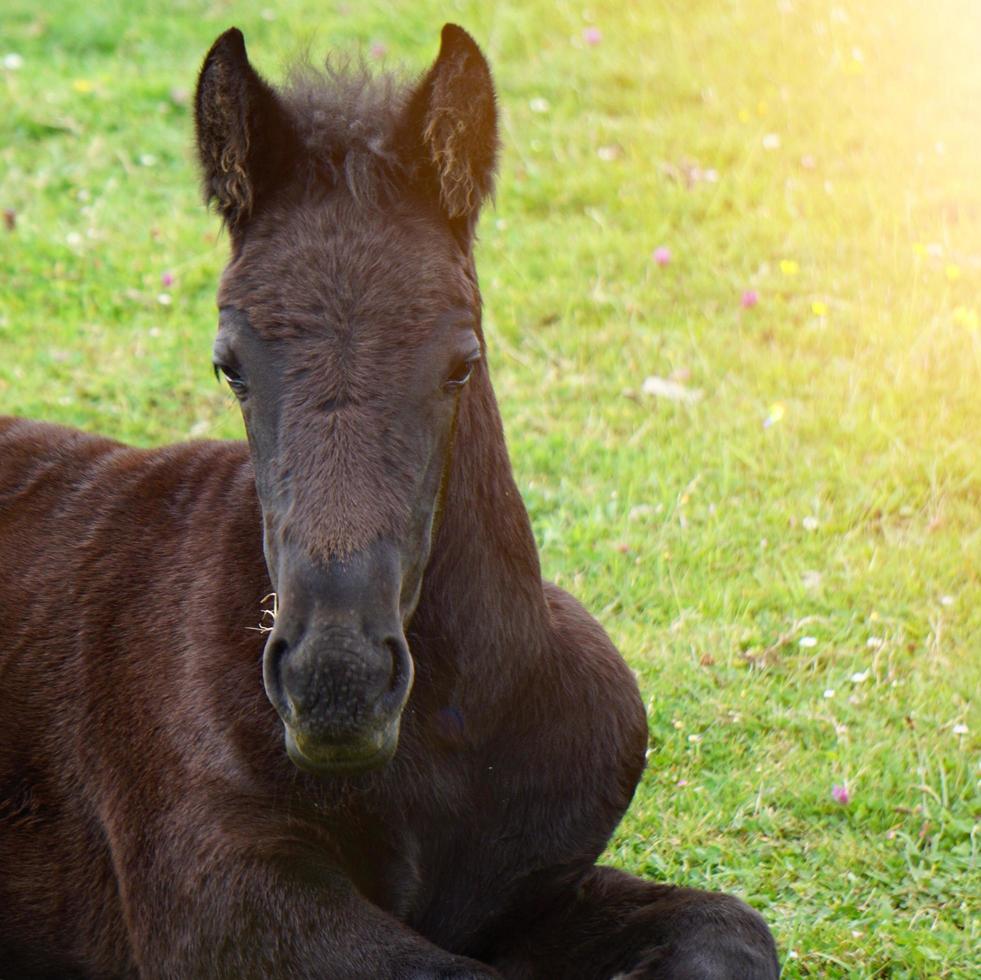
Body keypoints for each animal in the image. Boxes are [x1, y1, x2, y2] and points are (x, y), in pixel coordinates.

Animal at [1, 23, 780, 980]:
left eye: (462, 360)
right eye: (228, 364)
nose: (336, 686)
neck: (445, 744)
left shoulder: (529, 890)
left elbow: (730, 929)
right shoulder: (219, 892)